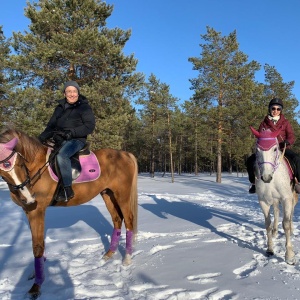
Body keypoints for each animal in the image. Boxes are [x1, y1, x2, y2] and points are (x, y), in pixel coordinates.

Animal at [0, 127, 138, 298]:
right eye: (2, 170)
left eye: (20, 162)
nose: (27, 197)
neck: (35, 165)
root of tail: (125, 154)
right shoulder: (28, 210)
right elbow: (39, 241)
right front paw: (35, 272)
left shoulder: (36, 210)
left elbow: (37, 246)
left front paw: (36, 286)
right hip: (108, 194)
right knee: (117, 220)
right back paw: (108, 254)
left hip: (122, 195)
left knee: (129, 220)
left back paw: (127, 259)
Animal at [251, 126, 298, 264]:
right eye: (257, 149)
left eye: (275, 149)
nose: (266, 177)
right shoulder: (263, 201)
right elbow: (267, 224)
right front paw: (270, 249)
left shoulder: (286, 199)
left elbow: (286, 224)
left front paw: (289, 256)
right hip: (274, 200)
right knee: (276, 212)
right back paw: (275, 232)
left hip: (292, 198)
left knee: (290, 214)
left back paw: (291, 230)